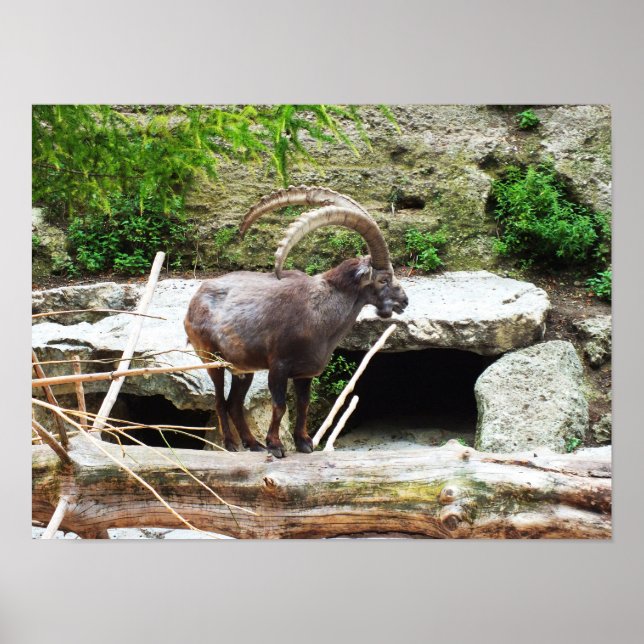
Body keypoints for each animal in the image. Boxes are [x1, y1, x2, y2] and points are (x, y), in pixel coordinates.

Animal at [184, 186, 409, 457]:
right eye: (384, 279)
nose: (404, 301)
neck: (319, 311)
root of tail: (195, 299)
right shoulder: (278, 366)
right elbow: (280, 405)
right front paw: (276, 445)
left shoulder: (304, 373)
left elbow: (303, 404)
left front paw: (304, 443)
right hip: (211, 358)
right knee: (219, 401)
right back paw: (231, 444)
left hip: (243, 369)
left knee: (234, 404)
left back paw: (253, 444)